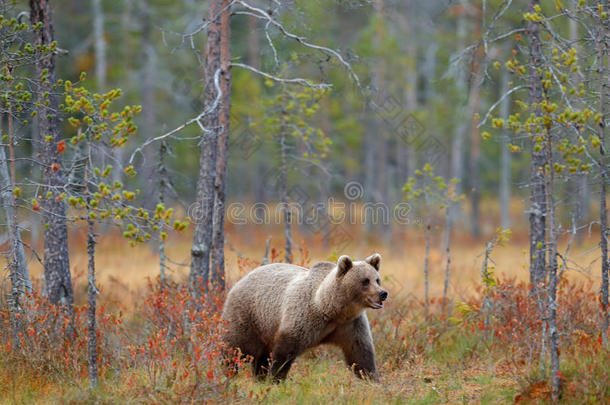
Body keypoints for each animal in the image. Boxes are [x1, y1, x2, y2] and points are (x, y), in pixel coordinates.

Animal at [221, 254, 388, 380]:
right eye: (365, 281)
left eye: (377, 279)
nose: (383, 293)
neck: (331, 310)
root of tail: (240, 280)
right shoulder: (304, 317)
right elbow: (285, 352)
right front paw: (276, 379)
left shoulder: (350, 325)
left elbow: (360, 353)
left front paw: (371, 379)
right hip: (248, 316)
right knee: (235, 348)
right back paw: (228, 372)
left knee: (261, 357)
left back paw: (258, 377)